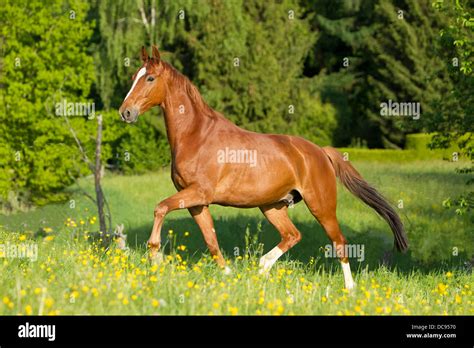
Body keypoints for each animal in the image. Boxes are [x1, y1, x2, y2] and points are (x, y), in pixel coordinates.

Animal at [119, 47, 408, 290]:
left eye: (150, 78)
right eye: (134, 76)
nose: (126, 112)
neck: (196, 135)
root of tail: (320, 152)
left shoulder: (198, 193)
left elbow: (160, 207)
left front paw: (155, 257)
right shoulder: (196, 202)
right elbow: (211, 240)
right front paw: (228, 275)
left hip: (321, 206)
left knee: (339, 242)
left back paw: (349, 288)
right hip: (272, 206)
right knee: (293, 235)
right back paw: (261, 269)